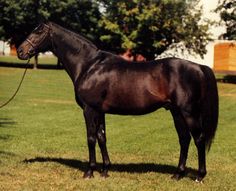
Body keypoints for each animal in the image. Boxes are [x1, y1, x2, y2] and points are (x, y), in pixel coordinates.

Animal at [17, 21, 218, 181]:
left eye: (38, 31)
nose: (20, 51)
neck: (89, 65)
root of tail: (199, 67)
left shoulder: (89, 109)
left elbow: (91, 138)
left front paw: (89, 172)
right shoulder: (100, 111)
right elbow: (102, 137)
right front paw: (105, 170)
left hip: (188, 113)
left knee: (199, 139)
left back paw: (199, 176)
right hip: (176, 113)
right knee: (184, 139)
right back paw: (177, 174)